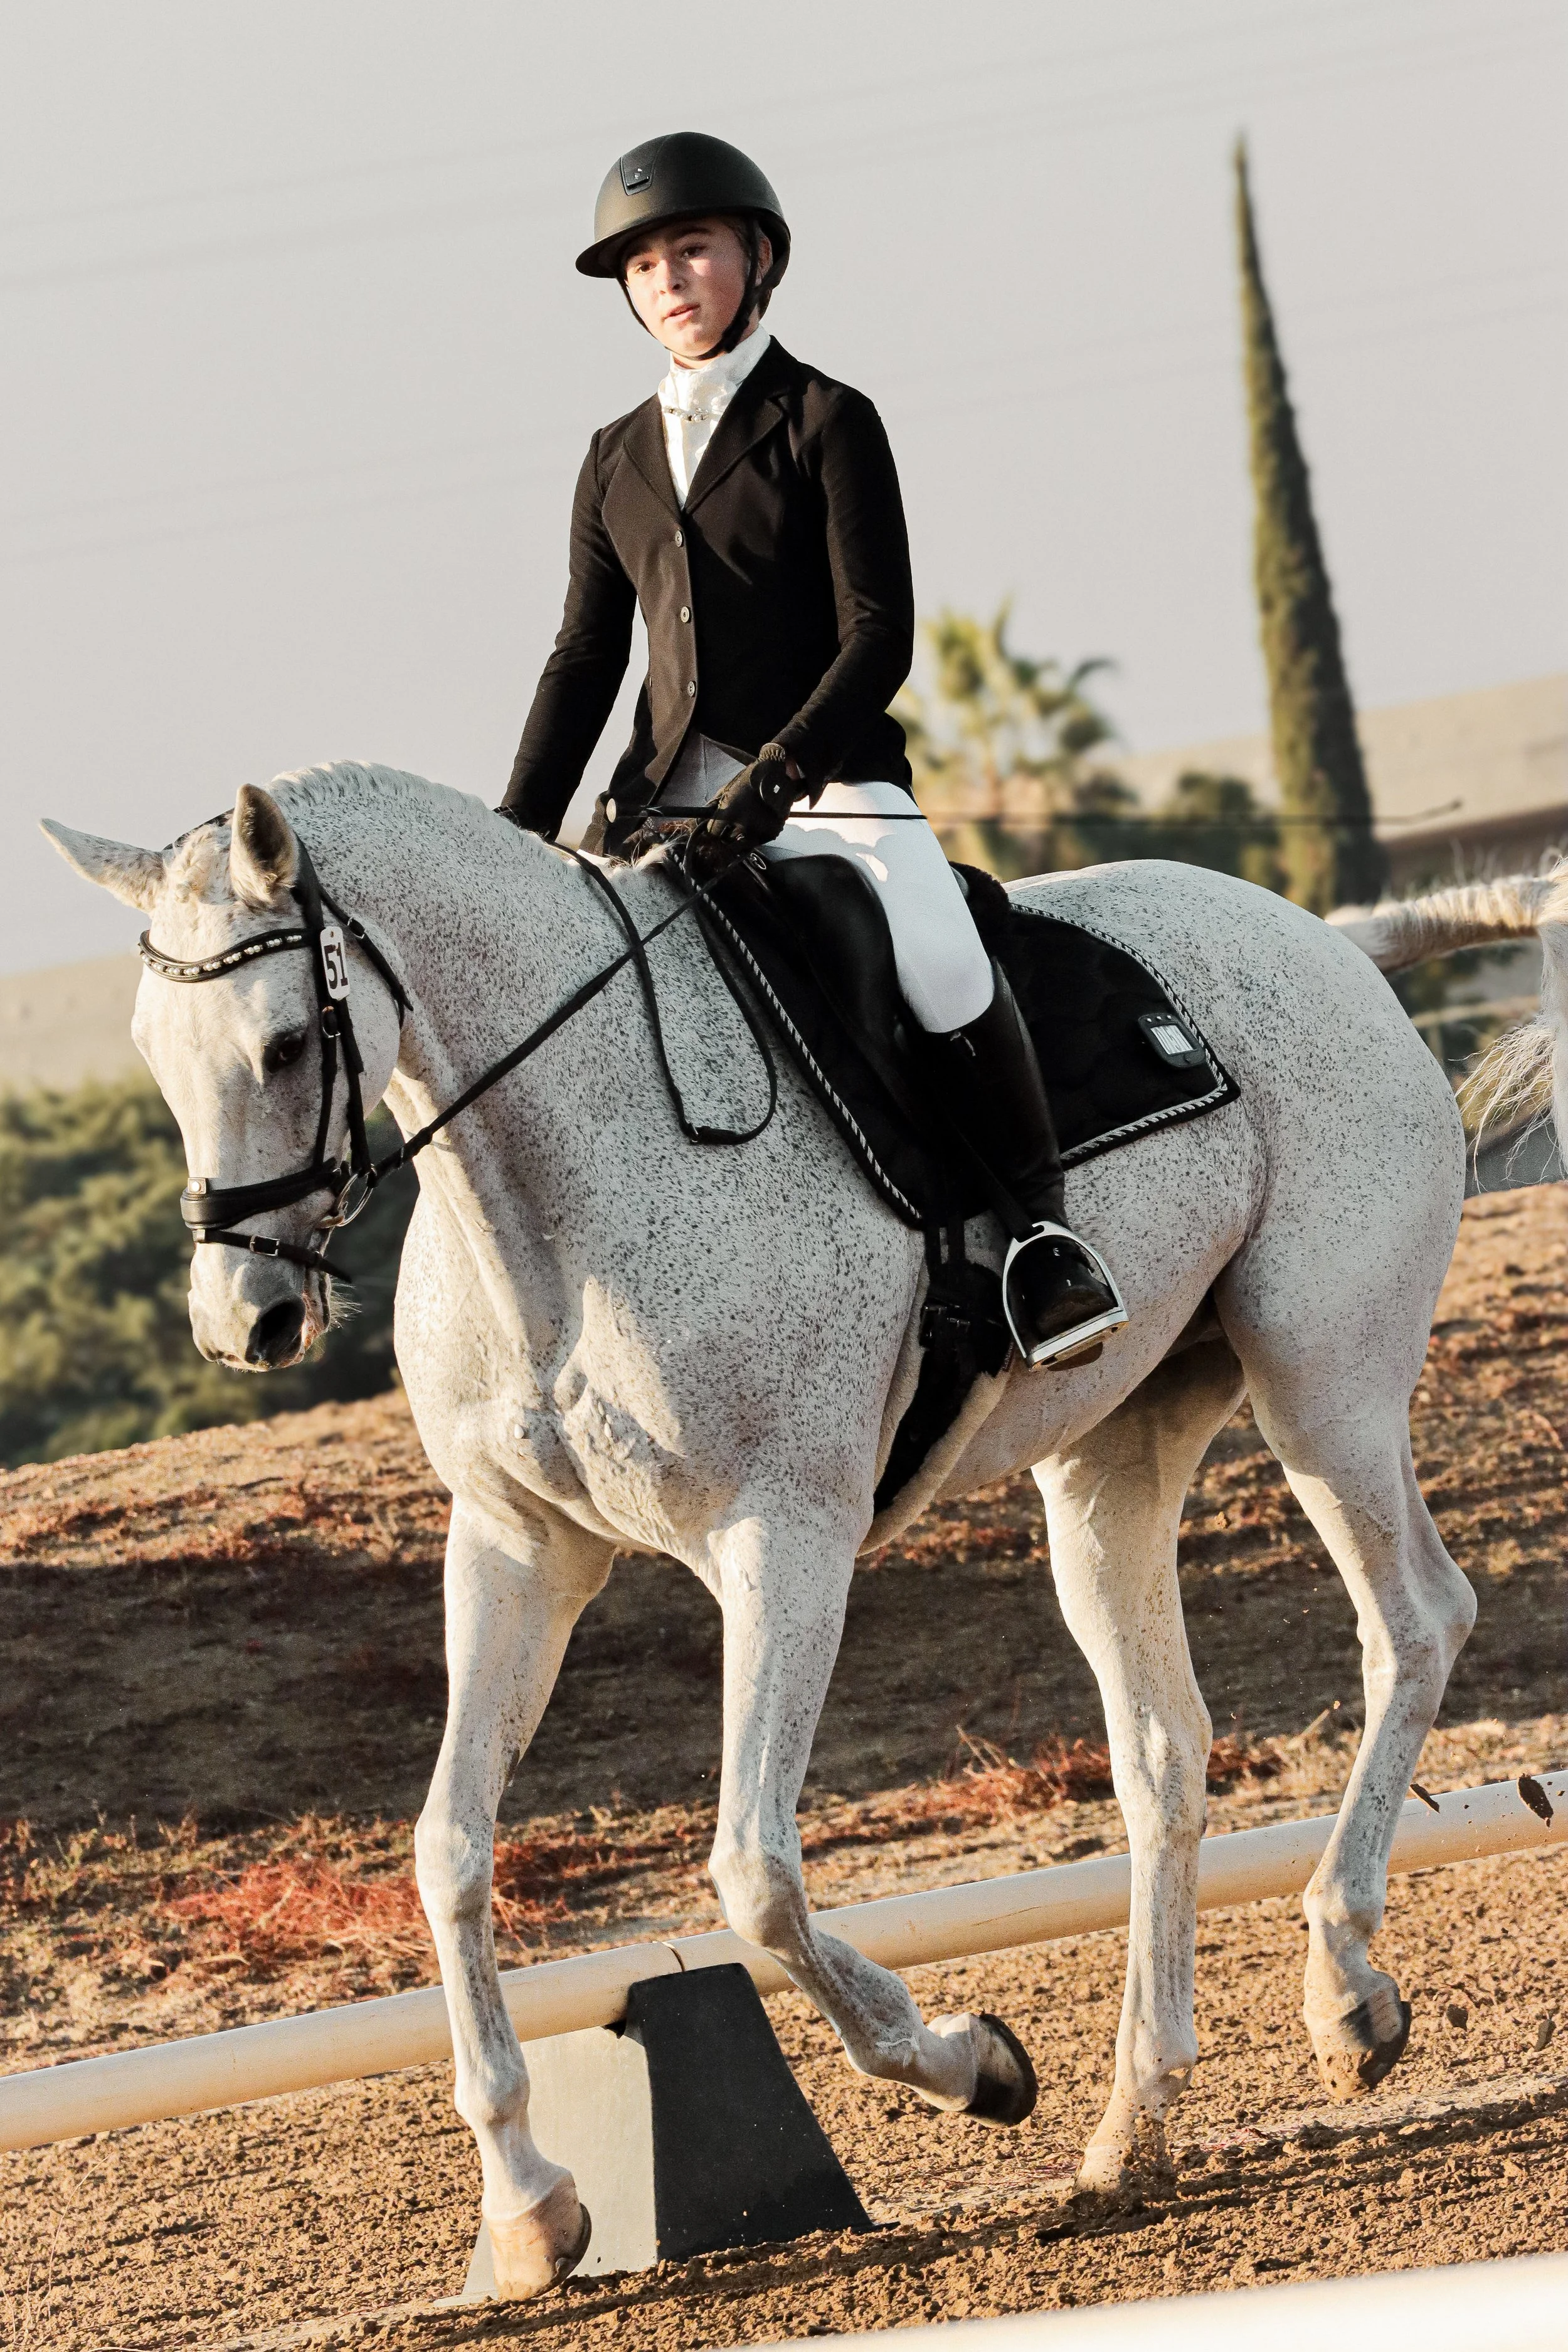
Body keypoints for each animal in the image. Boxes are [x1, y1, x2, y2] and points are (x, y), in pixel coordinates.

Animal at [45, 763, 1475, 2299]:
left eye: (285, 1042)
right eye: (150, 1050)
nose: (243, 1323)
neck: (553, 1200)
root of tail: (1328, 941)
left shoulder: (781, 1538)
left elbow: (751, 1876)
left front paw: (969, 2063)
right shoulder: (513, 1548)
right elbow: (449, 1850)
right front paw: (531, 2206)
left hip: (1319, 1379)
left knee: (1414, 1623)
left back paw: (1345, 1992)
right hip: (1113, 1461)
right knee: (1162, 1752)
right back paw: (1129, 2129)